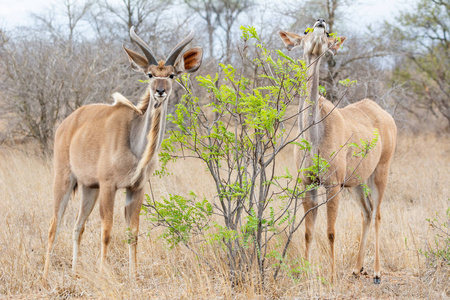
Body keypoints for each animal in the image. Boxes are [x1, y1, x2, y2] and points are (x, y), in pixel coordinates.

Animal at [43, 27, 203, 280]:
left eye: (171, 75)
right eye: (149, 74)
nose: (159, 91)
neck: (134, 144)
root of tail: (66, 124)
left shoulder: (136, 188)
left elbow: (133, 233)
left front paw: (133, 276)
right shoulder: (109, 186)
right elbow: (107, 231)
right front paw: (102, 274)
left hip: (89, 188)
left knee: (78, 226)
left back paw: (75, 271)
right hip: (64, 179)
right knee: (54, 225)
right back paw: (45, 275)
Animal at [278, 19, 398, 284]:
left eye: (327, 34)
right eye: (305, 31)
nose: (321, 22)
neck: (314, 135)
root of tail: (386, 116)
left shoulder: (332, 184)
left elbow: (331, 231)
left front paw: (332, 277)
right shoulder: (308, 183)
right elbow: (308, 232)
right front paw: (305, 273)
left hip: (380, 172)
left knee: (377, 214)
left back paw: (376, 273)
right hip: (356, 183)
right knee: (367, 212)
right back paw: (357, 269)